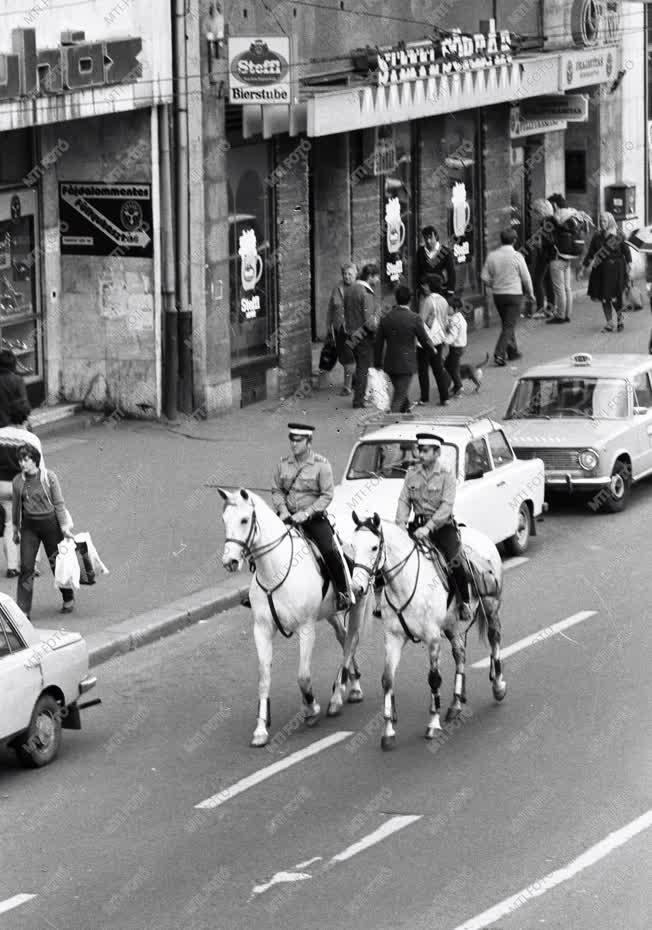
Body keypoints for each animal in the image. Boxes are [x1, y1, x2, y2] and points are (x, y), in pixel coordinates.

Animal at [219, 490, 370, 744]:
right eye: (224, 520)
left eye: (244, 520)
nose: (229, 562)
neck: (275, 570)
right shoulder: (261, 630)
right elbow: (264, 677)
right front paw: (261, 728)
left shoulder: (306, 628)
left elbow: (303, 676)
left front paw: (311, 709)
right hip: (331, 614)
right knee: (343, 638)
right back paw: (354, 684)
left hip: (358, 607)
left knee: (351, 641)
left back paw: (339, 696)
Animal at [348, 512, 506, 752]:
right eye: (353, 546)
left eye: (374, 547)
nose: (357, 588)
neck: (405, 585)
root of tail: (482, 536)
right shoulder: (393, 638)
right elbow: (387, 680)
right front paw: (388, 732)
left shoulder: (432, 638)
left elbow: (434, 679)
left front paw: (433, 724)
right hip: (451, 625)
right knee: (460, 654)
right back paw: (455, 704)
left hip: (490, 606)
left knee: (494, 639)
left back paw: (498, 686)